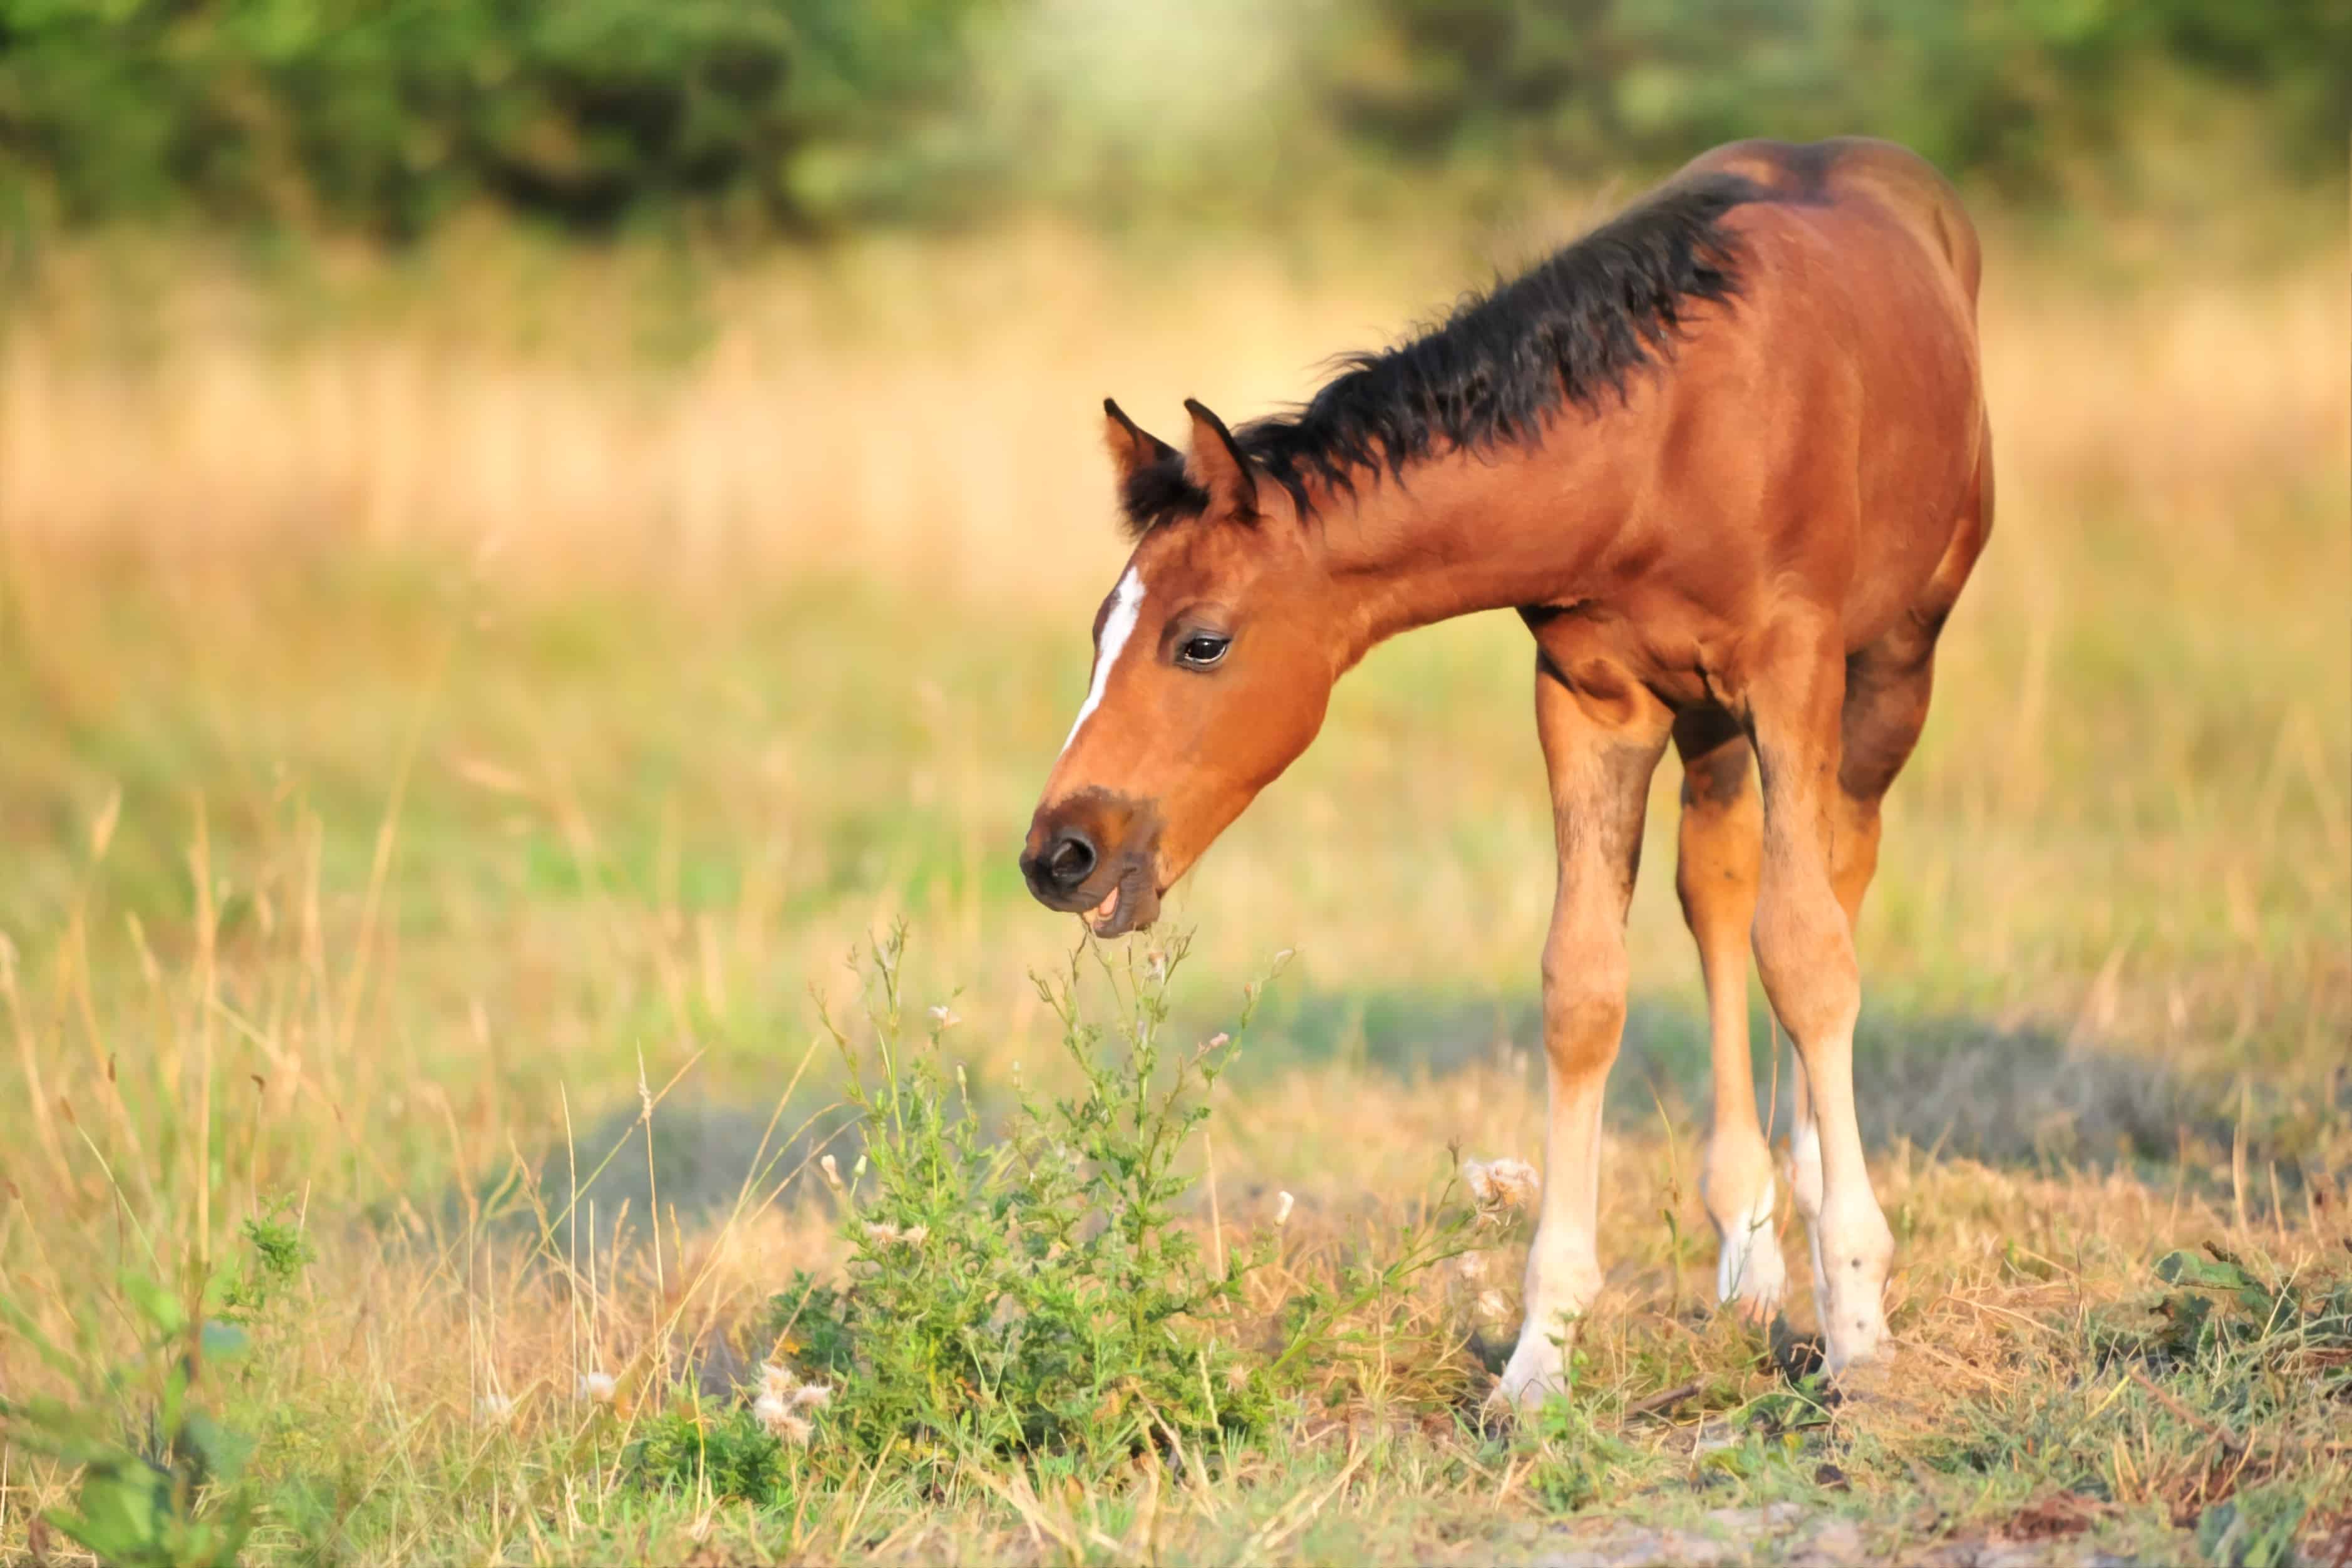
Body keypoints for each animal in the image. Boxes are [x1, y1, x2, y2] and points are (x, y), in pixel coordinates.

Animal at [1021, 141, 1994, 1401]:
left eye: (1201, 641)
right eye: (1100, 629)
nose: (1060, 853)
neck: (1659, 448)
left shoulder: (1796, 672)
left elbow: (1811, 955)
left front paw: (1861, 1324)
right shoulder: (1589, 697)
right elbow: (1583, 986)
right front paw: (1541, 1353)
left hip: (1894, 664)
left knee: (1834, 879)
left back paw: (1820, 1213)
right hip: (1709, 725)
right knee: (1719, 888)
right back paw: (1747, 1248)